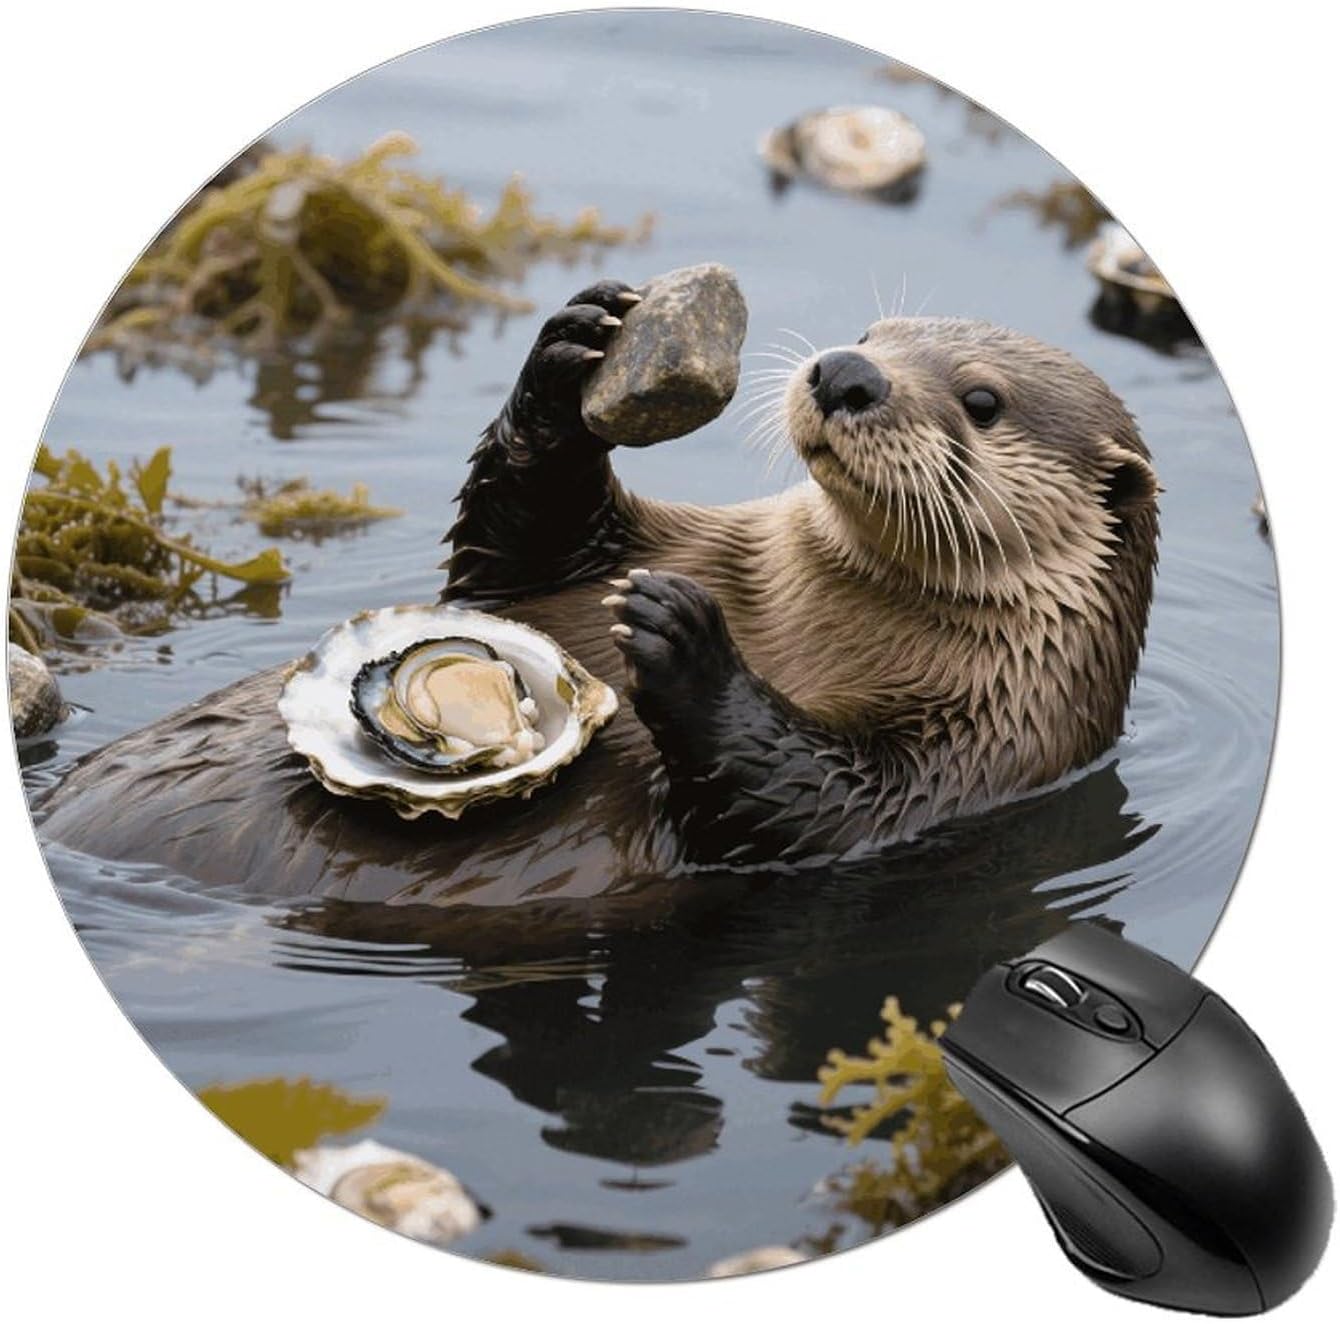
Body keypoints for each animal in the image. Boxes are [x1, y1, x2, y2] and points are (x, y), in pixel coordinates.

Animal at [35, 279, 1159, 906]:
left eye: (981, 400)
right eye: (874, 334)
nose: (846, 371)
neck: (805, 622)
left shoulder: (974, 757)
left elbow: (811, 801)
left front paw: (682, 638)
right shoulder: (594, 556)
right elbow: (513, 551)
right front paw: (569, 349)